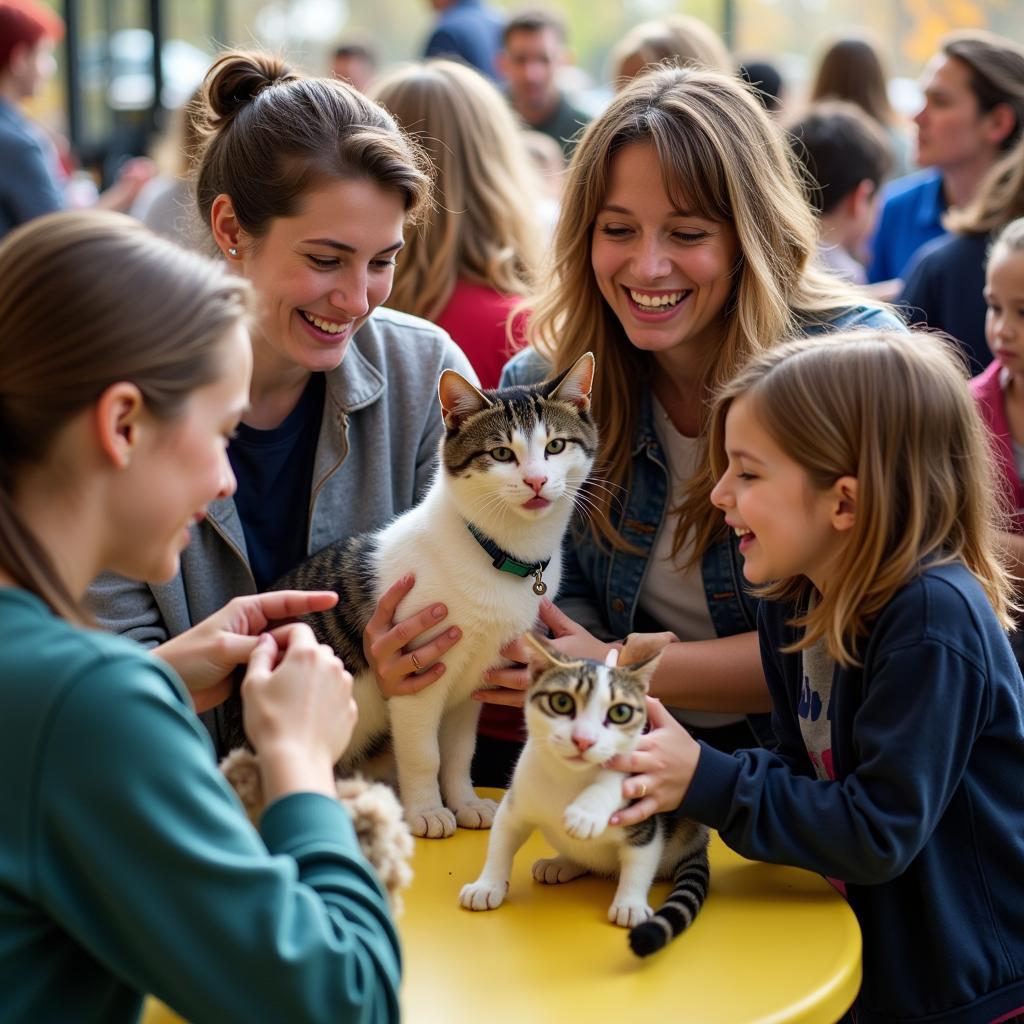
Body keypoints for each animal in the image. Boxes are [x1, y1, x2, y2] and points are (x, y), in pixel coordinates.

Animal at [268, 352, 598, 839]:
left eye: (555, 446)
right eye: (502, 453)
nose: (537, 481)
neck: (497, 554)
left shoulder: (474, 682)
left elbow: (459, 752)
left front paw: (465, 802)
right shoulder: (416, 675)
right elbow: (425, 754)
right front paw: (426, 810)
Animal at [460, 634, 708, 954]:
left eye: (620, 712)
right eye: (562, 702)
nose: (583, 740)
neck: (569, 777)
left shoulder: (646, 813)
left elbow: (639, 858)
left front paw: (630, 902)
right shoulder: (516, 802)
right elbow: (501, 841)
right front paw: (487, 884)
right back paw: (562, 864)